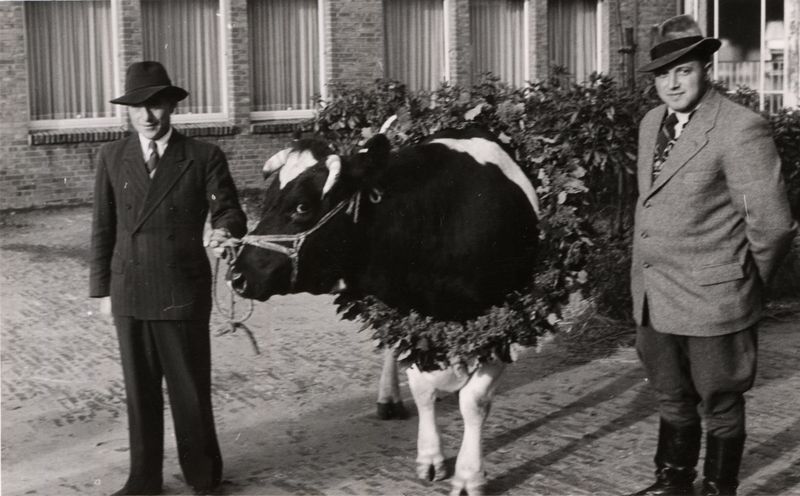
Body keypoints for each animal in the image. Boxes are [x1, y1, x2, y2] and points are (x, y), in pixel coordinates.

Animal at [225, 121, 540, 496]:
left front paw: (468, 476)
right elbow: (422, 389)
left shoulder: (506, 317)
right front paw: (430, 456)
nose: (238, 275)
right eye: (269, 198)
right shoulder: (409, 314)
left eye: (301, 207)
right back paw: (389, 397)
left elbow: (474, 401)